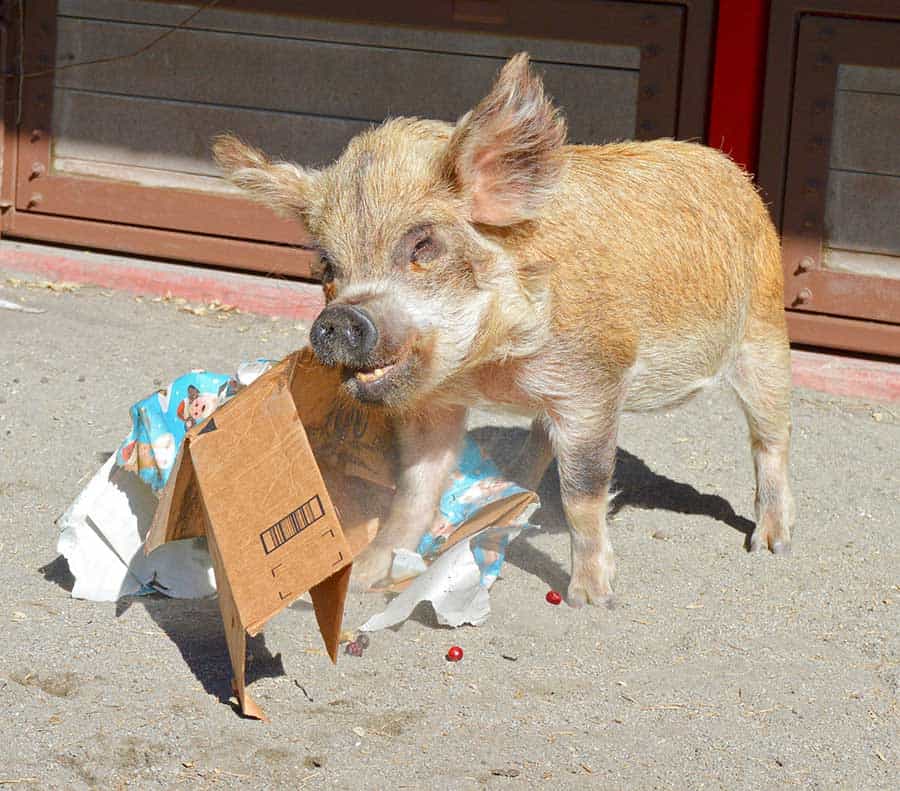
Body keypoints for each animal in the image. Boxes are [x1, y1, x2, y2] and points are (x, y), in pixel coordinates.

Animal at [212, 53, 794, 605]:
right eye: (328, 267)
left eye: (423, 245)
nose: (338, 318)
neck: (488, 371)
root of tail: (732, 171)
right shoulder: (436, 404)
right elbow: (415, 486)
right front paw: (368, 577)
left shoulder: (590, 385)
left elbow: (584, 491)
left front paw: (591, 599)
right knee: (539, 437)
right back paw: (508, 486)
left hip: (764, 331)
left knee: (772, 437)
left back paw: (772, 544)